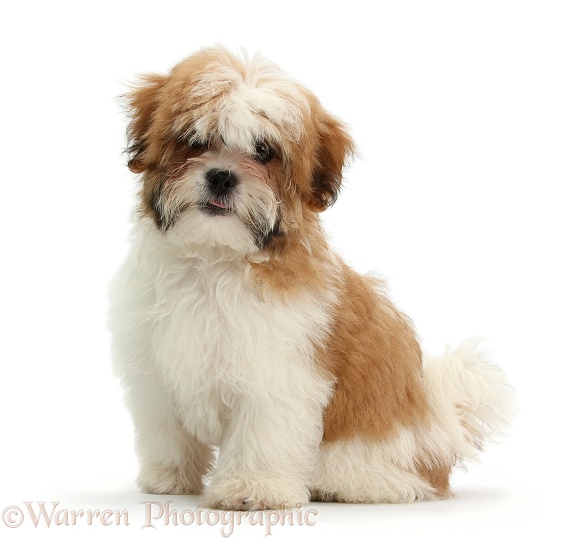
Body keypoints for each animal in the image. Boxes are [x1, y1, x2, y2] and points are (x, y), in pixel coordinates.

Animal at [108, 46, 512, 510]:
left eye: (264, 151)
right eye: (195, 140)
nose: (221, 176)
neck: (215, 258)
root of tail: (440, 440)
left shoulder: (276, 374)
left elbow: (262, 432)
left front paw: (253, 488)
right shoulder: (154, 369)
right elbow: (166, 429)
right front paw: (169, 477)